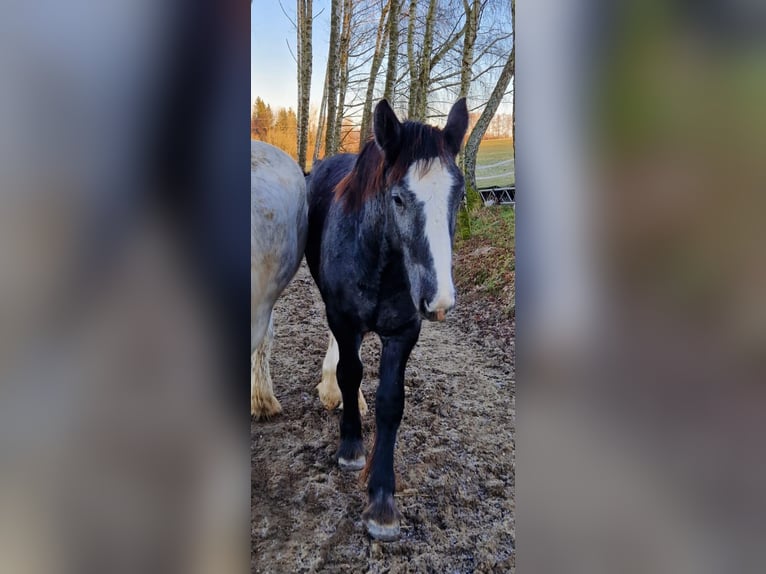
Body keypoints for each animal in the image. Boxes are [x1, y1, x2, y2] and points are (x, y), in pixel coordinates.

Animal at [305, 98, 468, 540]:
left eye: (459, 194)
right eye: (398, 198)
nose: (439, 300)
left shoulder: (404, 332)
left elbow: (391, 402)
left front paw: (382, 501)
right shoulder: (343, 319)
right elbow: (349, 372)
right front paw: (350, 447)